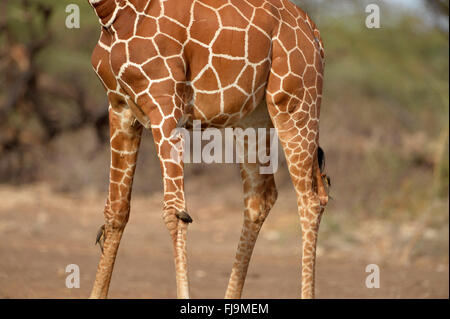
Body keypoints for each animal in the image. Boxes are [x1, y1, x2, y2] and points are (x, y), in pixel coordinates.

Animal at [88, 0, 326, 300]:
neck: (114, 13)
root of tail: (314, 31)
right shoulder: (119, 106)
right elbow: (116, 210)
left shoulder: (165, 104)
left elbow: (174, 211)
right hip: (253, 118)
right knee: (260, 198)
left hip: (295, 102)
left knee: (310, 200)